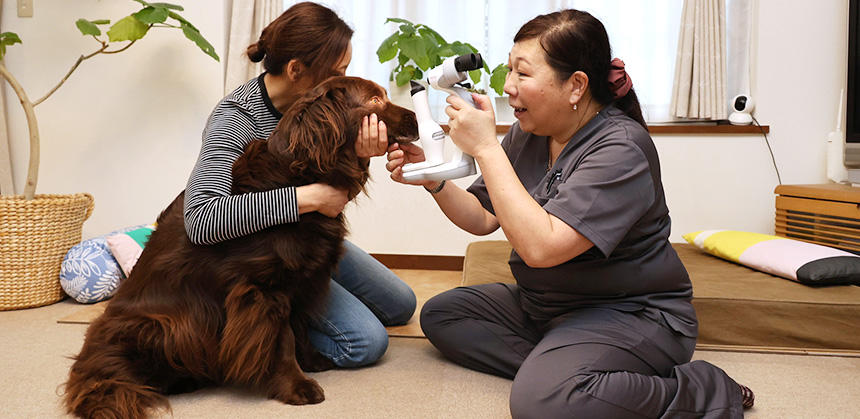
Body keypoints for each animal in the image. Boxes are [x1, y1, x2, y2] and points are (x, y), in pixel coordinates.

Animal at [63, 77, 416, 418]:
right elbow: (282, 339)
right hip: (166, 324)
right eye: (375, 99)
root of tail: (92, 363)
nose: (415, 118)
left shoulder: (300, 282)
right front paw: (296, 386)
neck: (297, 178)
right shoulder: (262, 290)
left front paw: (313, 361)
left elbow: (299, 327)